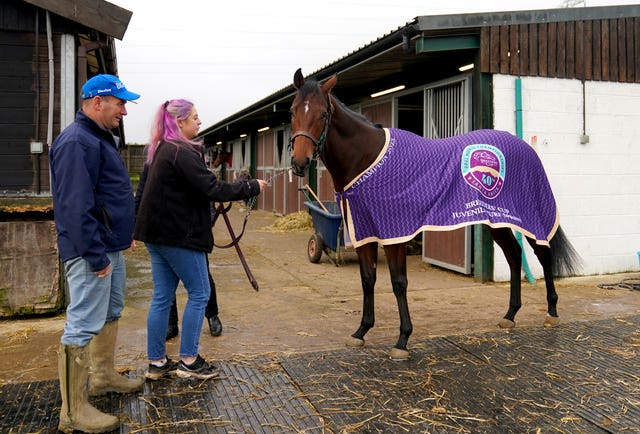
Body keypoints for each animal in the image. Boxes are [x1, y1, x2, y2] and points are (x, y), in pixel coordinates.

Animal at [290, 68, 580, 360]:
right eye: (293, 111)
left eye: (323, 114)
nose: (299, 163)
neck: (367, 158)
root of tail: (527, 148)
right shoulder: (364, 232)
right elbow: (367, 280)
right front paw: (361, 331)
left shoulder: (394, 233)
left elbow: (398, 282)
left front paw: (402, 340)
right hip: (497, 220)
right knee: (513, 256)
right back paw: (510, 315)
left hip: (529, 216)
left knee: (543, 255)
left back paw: (552, 313)